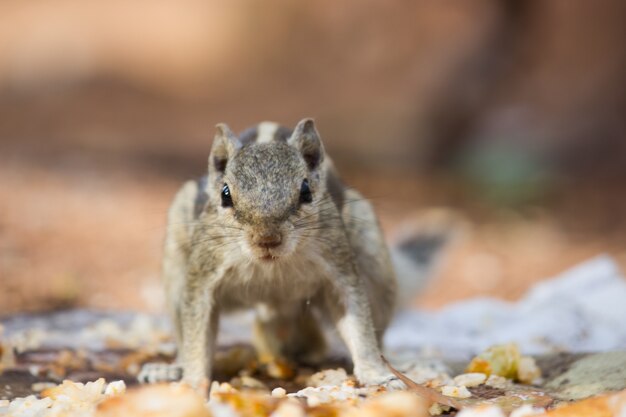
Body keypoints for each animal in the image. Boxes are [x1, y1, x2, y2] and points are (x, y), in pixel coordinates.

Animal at [138, 118, 454, 392]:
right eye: (225, 194)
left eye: (306, 191)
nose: (267, 239)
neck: (271, 266)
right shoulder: (203, 276)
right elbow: (196, 334)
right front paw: (191, 382)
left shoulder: (339, 268)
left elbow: (358, 325)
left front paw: (377, 375)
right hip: (176, 274)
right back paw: (169, 368)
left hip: (375, 264)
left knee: (379, 334)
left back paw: (402, 365)